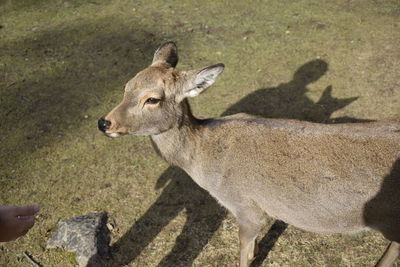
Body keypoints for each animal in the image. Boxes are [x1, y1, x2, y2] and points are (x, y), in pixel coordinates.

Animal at [99, 42, 400, 267]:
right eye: (126, 87)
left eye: (152, 99)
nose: (104, 123)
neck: (206, 165)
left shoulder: (246, 207)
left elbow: (243, 251)